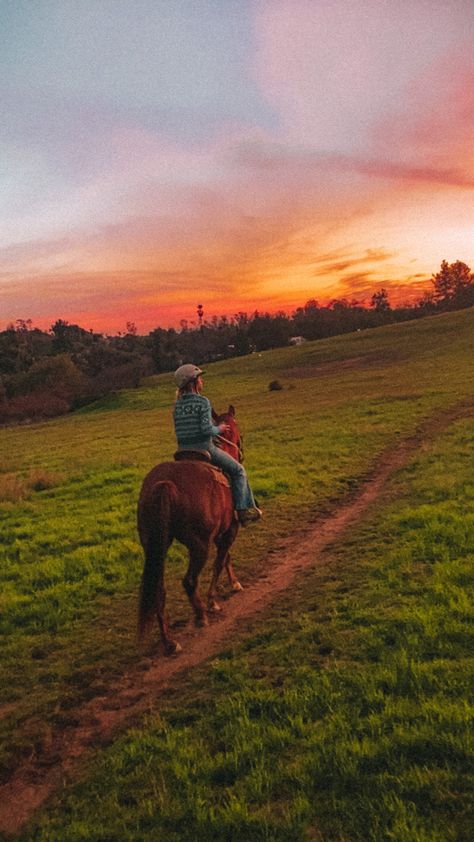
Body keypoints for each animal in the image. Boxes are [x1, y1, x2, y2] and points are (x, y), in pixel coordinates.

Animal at [136, 404, 241, 652]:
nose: (241, 451)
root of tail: (165, 483)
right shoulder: (229, 530)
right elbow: (220, 562)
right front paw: (216, 599)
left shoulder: (222, 533)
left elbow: (225, 558)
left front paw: (232, 583)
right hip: (199, 545)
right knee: (190, 581)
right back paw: (201, 615)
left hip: (156, 546)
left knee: (158, 590)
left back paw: (169, 642)